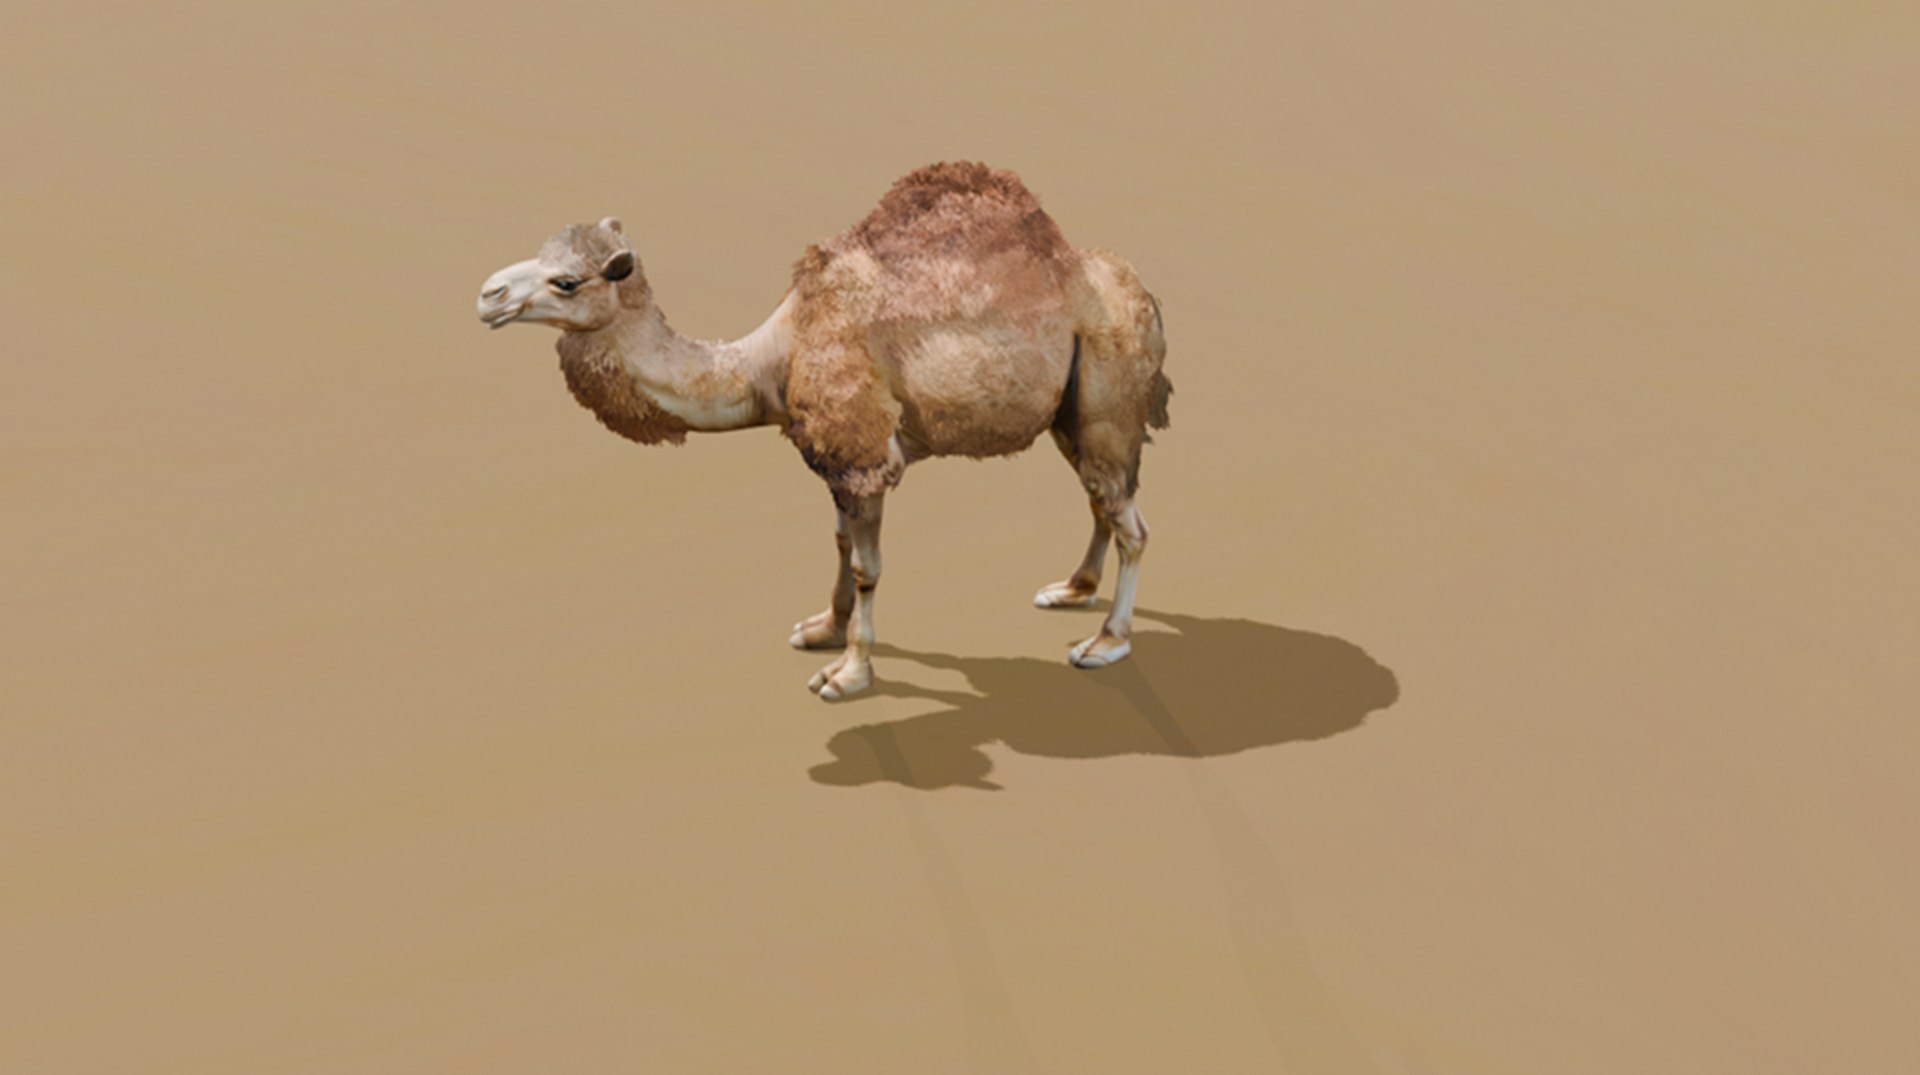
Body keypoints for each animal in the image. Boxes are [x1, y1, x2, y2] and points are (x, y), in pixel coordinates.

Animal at [476, 162, 1171, 700]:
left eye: (567, 281)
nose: (487, 293)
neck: (772, 357)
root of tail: (1138, 290)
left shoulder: (863, 453)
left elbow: (867, 567)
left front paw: (848, 674)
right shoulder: (830, 457)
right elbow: (837, 543)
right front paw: (822, 631)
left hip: (1110, 376)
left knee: (1129, 519)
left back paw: (1105, 642)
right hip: (1069, 410)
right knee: (1101, 496)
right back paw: (1072, 590)